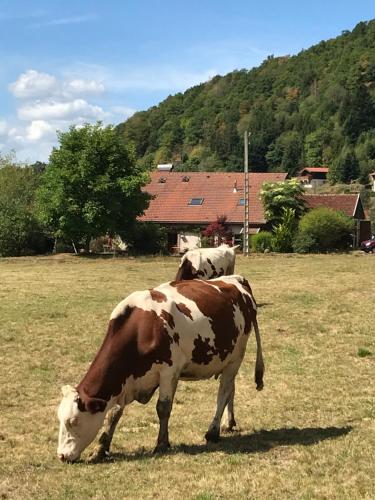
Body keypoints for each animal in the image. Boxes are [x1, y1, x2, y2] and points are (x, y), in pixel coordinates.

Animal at [58, 276, 264, 462]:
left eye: (73, 421)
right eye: (60, 419)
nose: (61, 456)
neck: (141, 328)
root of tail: (235, 279)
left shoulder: (168, 372)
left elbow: (163, 408)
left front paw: (162, 444)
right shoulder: (124, 381)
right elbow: (113, 414)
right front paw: (101, 449)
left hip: (235, 359)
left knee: (224, 392)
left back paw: (213, 431)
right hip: (226, 360)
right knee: (231, 390)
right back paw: (228, 423)